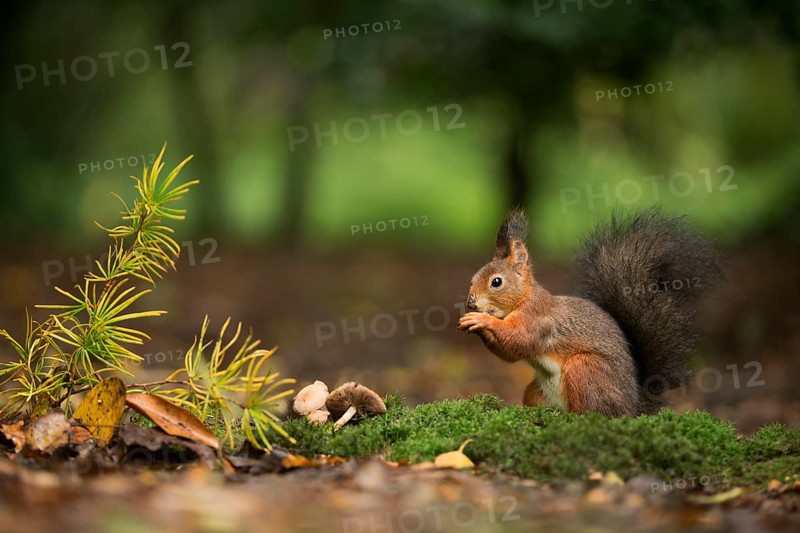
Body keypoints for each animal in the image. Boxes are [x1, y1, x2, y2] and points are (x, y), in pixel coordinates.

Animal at [457, 207, 723, 416]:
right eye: (472, 278)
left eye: (496, 282)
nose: (471, 303)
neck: (523, 300)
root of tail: (632, 408)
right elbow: (510, 355)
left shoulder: (538, 319)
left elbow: (520, 339)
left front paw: (481, 320)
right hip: (536, 390)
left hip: (585, 369)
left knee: (593, 413)